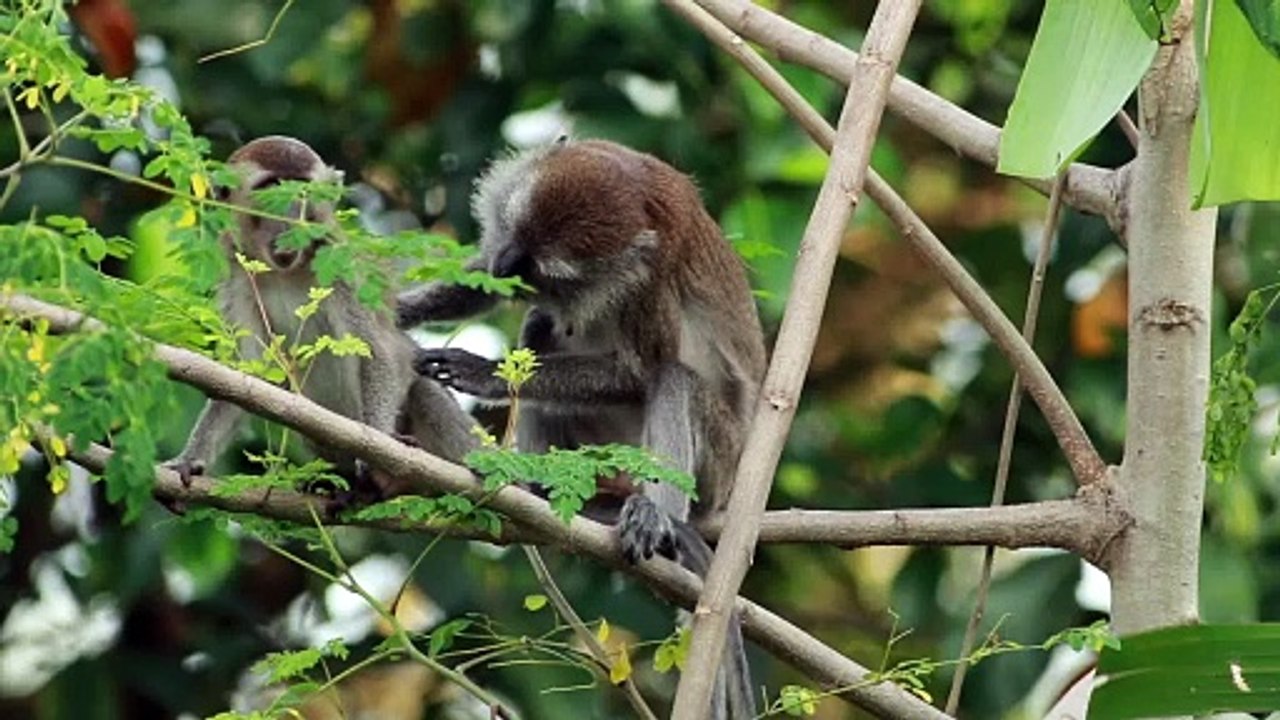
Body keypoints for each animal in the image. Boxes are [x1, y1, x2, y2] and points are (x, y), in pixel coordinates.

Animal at [166, 135, 479, 495]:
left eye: (304, 192)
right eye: (271, 190)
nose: (292, 219)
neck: (285, 273)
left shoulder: (339, 264)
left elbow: (376, 351)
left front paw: (380, 445)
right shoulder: (238, 277)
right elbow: (249, 374)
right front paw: (190, 458)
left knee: (424, 389)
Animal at [396, 137, 765, 718]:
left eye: (544, 266)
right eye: (516, 235)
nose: (507, 263)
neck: (637, 185)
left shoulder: (650, 280)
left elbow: (641, 371)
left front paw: (480, 371)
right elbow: (481, 285)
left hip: (716, 463)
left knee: (672, 378)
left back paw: (655, 517)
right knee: (540, 326)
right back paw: (539, 489)